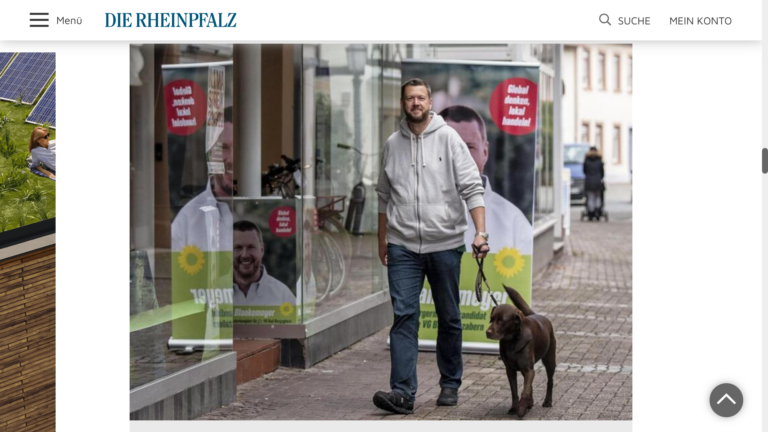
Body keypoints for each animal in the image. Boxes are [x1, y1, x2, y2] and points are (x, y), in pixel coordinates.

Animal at [488, 286, 556, 416]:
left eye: (502, 321)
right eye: (491, 319)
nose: (487, 332)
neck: (512, 342)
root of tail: (537, 314)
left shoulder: (528, 369)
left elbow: (525, 390)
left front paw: (522, 408)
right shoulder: (510, 370)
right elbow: (515, 392)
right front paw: (514, 408)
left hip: (550, 360)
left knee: (549, 381)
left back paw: (547, 402)